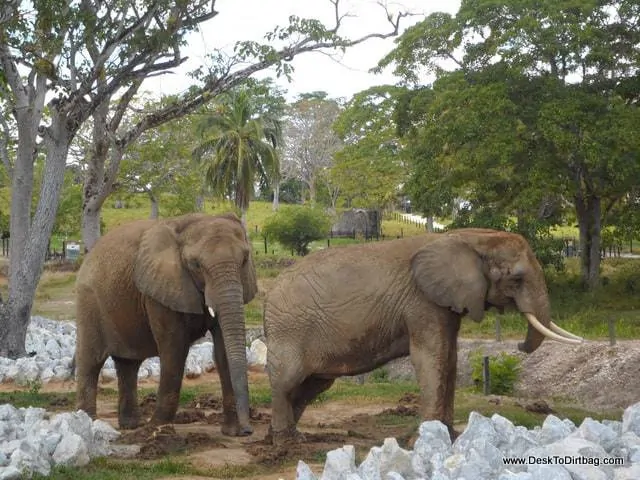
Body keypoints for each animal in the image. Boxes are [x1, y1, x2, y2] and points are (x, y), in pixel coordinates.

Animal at [78, 213, 260, 436]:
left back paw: (131, 425)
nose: (248, 430)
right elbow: (174, 347)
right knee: (91, 361)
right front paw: (157, 430)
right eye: (196, 264)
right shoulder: (159, 289)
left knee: (128, 364)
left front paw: (232, 432)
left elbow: (223, 349)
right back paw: (88, 422)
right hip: (89, 301)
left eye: (244, 260)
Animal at [262, 227, 584, 444]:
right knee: (287, 380)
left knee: (312, 385)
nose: (518, 343)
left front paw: (449, 437)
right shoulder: (421, 302)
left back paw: (282, 438)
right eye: (516, 279)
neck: (468, 237)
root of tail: (268, 297)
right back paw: (285, 444)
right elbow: (431, 357)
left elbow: (449, 358)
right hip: (290, 329)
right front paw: (424, 441)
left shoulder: (445, 304)